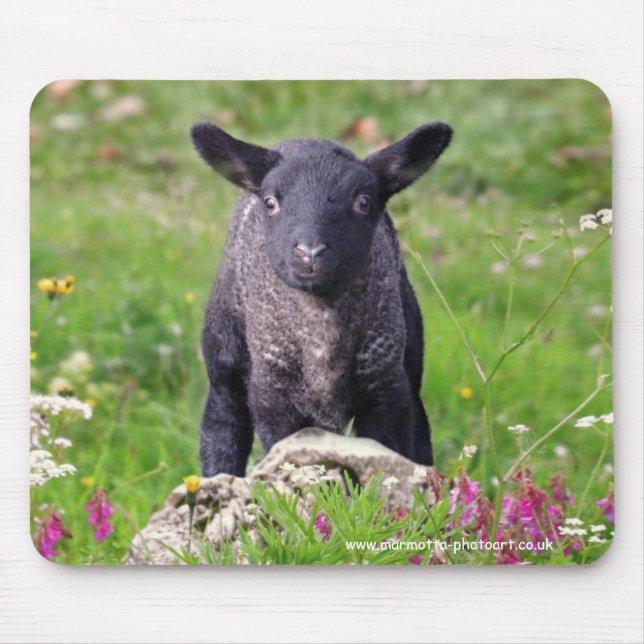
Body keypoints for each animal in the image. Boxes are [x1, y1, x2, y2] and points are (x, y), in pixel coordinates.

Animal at [191, 121, 452, 476]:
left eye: (363, 202)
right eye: (270, 202)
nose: (310, 252)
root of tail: (305, 139)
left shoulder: (386, 389)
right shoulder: (272, 396)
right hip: (225, 353)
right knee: (222, 421)